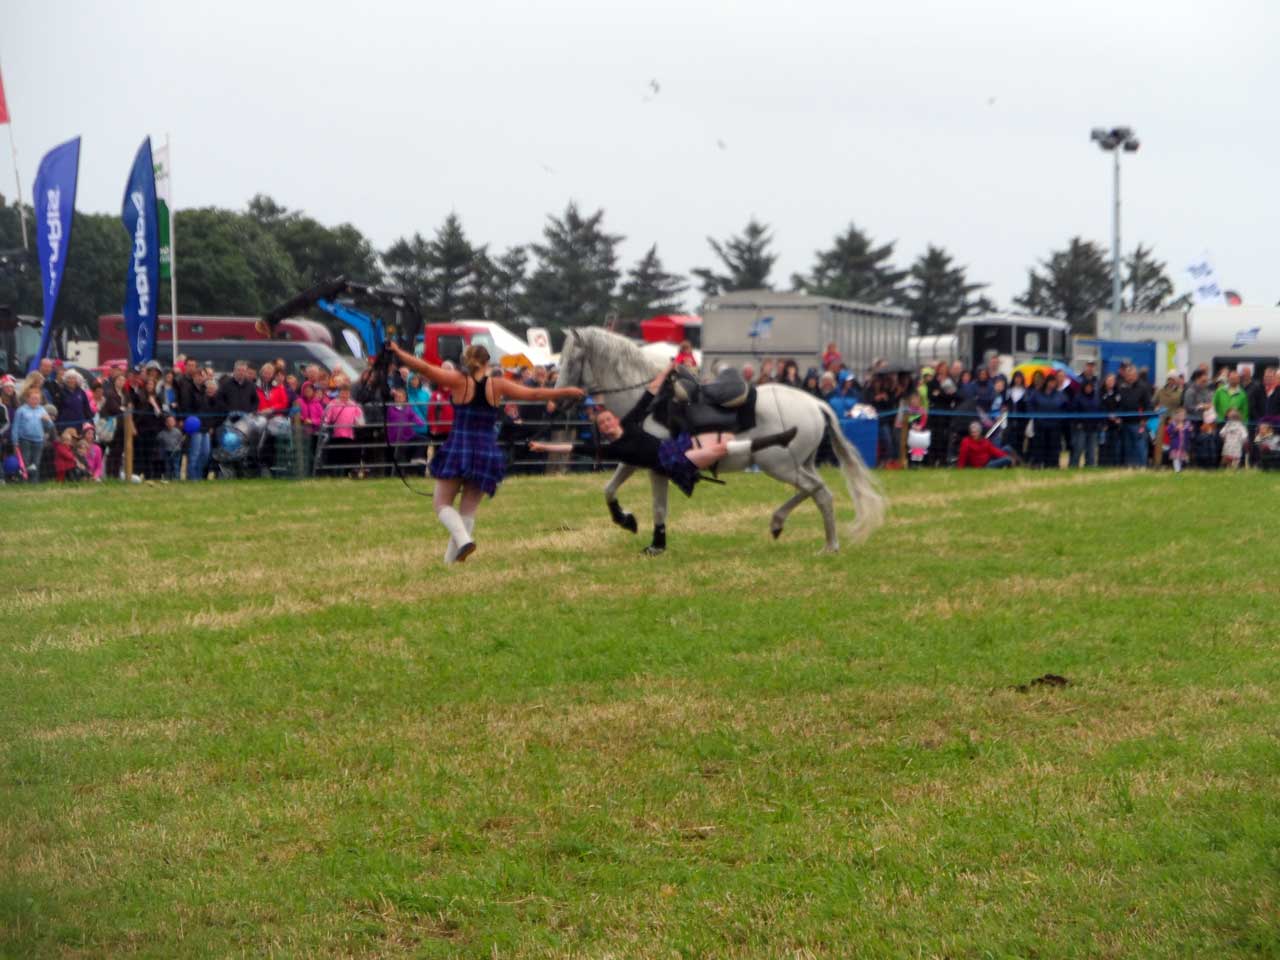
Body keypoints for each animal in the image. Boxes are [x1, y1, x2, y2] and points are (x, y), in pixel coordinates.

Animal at [555, 327, 885, 555]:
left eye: (572, 360)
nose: (559, 401)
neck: (647, 401)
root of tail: (816, 404)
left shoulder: (656, 468)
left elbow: (659, 508)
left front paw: (656, 545)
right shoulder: (633, 457)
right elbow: (608, 490)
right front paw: (626, 520)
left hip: (779, 465)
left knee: (819, 492)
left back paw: (822, 541)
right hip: (799, 464)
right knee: (815, 492)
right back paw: (796, 529)